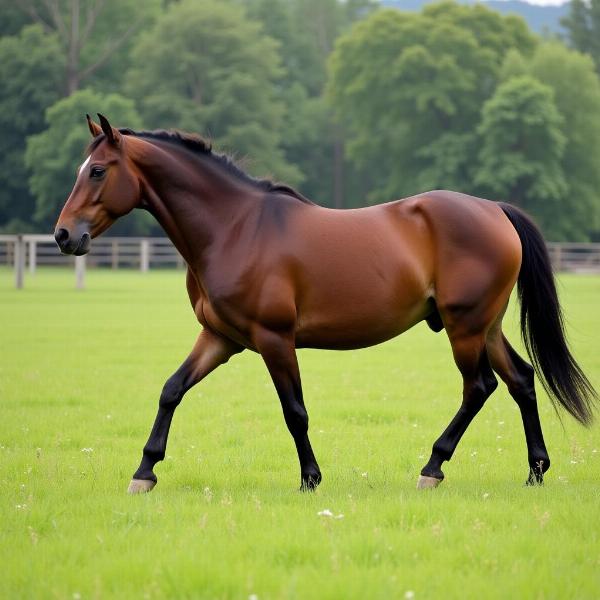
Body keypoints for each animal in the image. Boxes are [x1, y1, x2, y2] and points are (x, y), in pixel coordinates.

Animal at [52, 113, 596, 492]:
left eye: (97, 171)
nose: (63, 236)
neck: (235, 228)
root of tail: (494, 211)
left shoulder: (274, 339)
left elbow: (295, 411)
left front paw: (311, 478)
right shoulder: (220, 338)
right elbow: (171, 390)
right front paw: (144, 471)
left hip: (465, 329)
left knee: (479, 387)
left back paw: (432, 467)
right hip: (486, 327)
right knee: (521, 380)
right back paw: (536, 471)